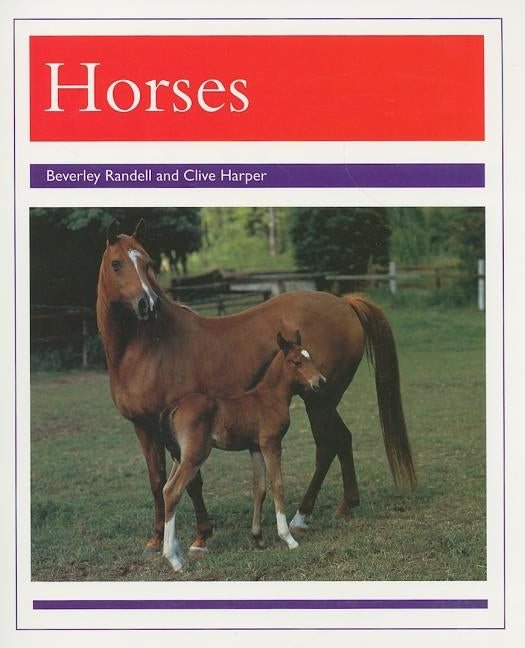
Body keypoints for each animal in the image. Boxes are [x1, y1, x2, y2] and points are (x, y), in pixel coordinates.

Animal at [159, 329, 327, 571]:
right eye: (296, 362)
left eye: (310, 356)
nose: (321, 382)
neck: (270, 397)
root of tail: (175, 406)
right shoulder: (271, 443)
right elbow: (277, 484)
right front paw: (288, 538)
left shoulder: (255, 447)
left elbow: (259, 488)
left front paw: (258, 537)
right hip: (195, 456)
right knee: (173, 492)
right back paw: (173, 559)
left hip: (179, 458)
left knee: (166, 490)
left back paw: (177, 555)